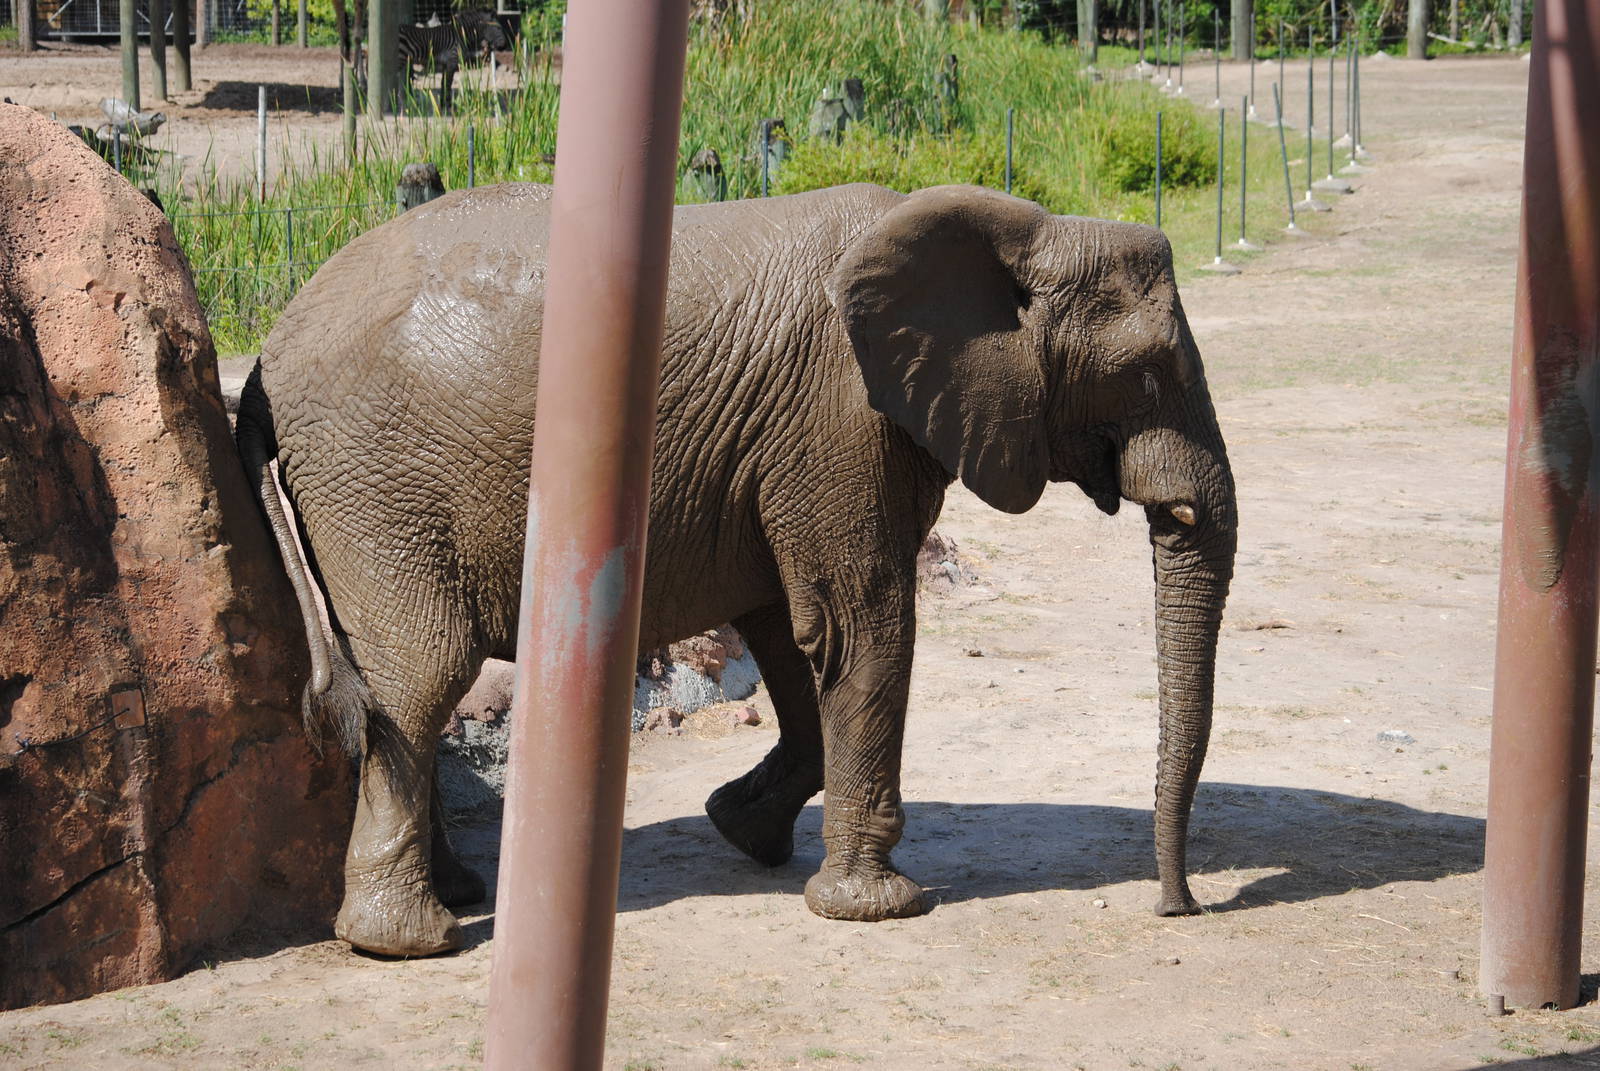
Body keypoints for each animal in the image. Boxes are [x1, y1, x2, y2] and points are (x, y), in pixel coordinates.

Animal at [236, 181, 1237, 958]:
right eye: (1149, 374)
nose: (1178, 907)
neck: (1019, 228)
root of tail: (263, 364)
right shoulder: (840, 422)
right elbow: (862, 628)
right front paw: (880, 907)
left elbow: (795, 638)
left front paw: (741, 828)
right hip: (378, 486)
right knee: (417, 680)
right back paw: (408, 939)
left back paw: (460, 890)